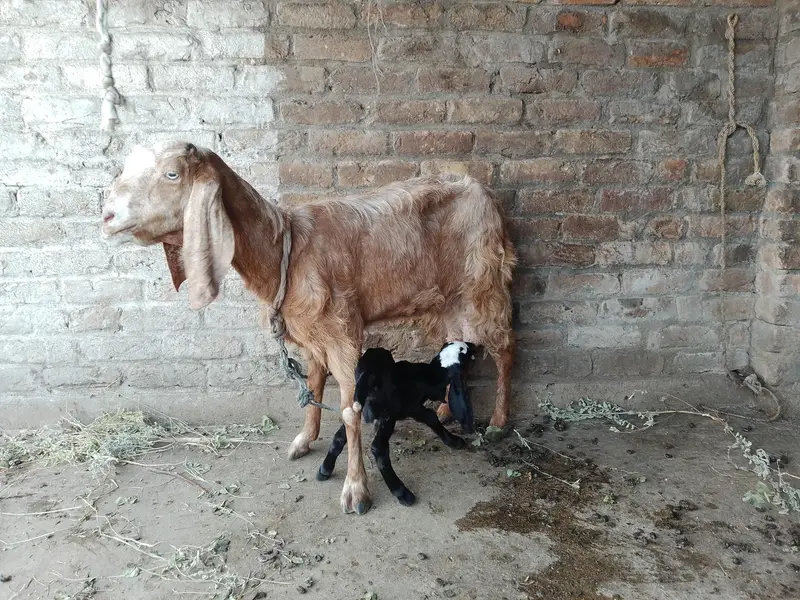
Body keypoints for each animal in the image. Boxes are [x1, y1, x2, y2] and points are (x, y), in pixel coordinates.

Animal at [317, 342, 476, 507]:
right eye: (464, 351)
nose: (473, 345)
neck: (429, 374)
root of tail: (367, 373)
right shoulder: (412, 407)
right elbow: (431, 417)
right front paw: (453, 441)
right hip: (389, 412)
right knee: (378, 448)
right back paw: (401, 492)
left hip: (359, 408)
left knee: (341, 434)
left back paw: (325, 469)